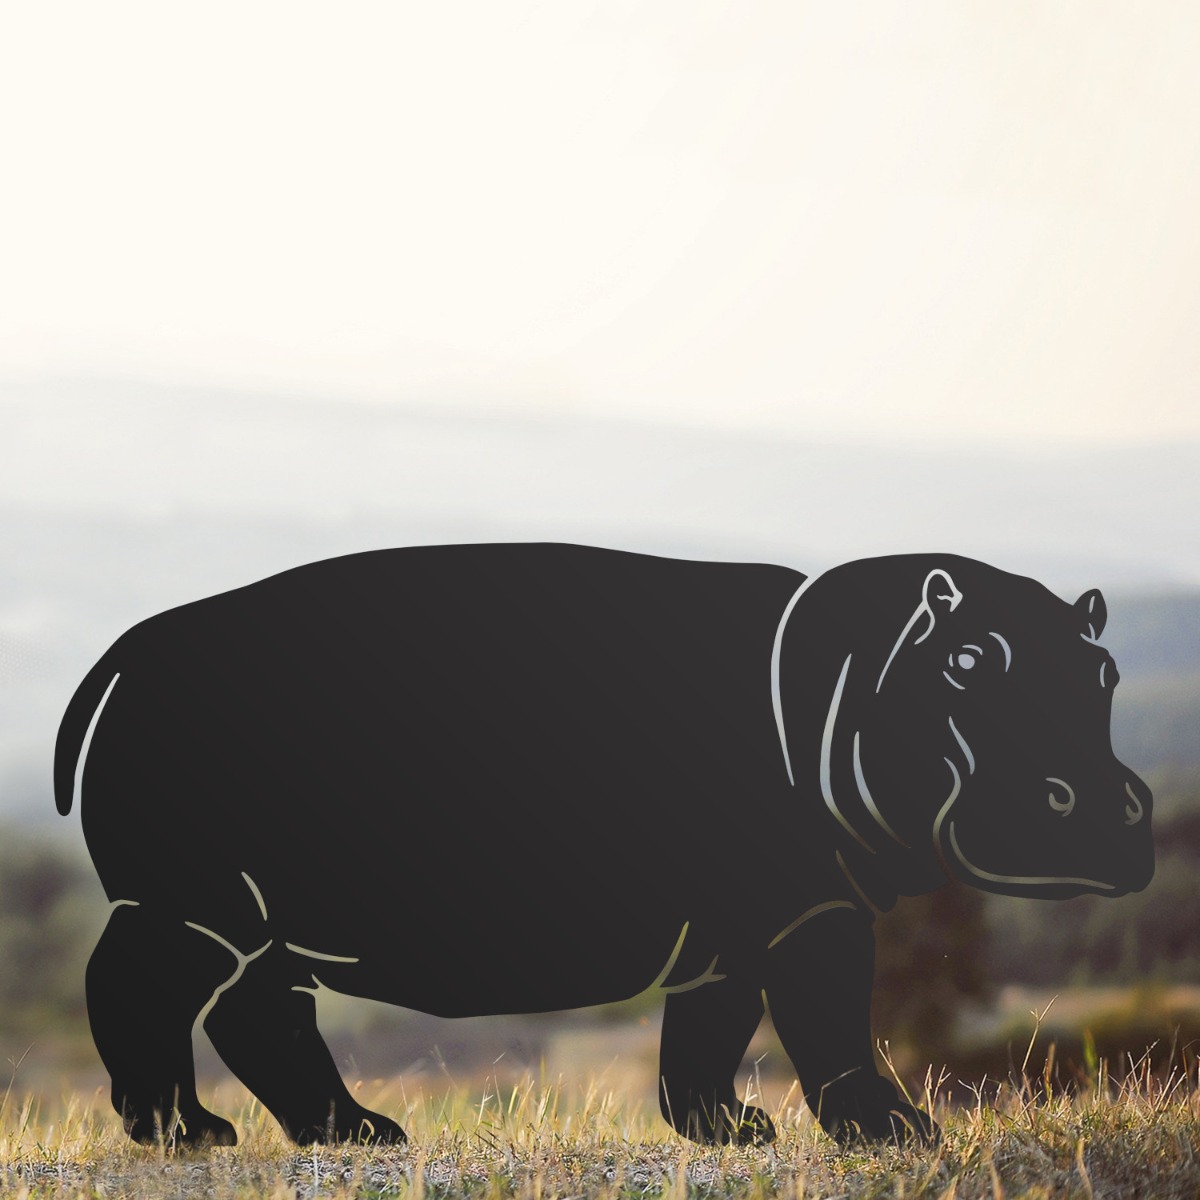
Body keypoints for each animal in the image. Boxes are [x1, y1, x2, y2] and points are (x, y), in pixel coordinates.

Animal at [54, 544, 1153, 1148]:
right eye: (967, 660)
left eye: (1102, 669)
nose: (1110, 804)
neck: (855, 668)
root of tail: (125, 649)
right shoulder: (813, 911)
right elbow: (832, 1019)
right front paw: (899, 1135)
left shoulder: (744, 921)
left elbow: (707, 1037)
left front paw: (733, 1134)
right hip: (197, 906)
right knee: (140, 987)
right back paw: (191, 1139)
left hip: (267, 922)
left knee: (262, 1015)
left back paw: (363, 1137)